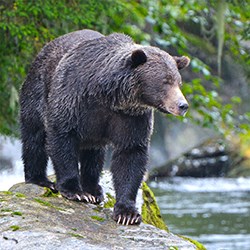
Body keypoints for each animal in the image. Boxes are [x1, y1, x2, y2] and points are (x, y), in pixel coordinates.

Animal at [19, 28, 190, 225]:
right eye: (165, 81)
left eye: (179, 82)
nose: (182, 105)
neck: (108, 95)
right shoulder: (73, 99)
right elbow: (62, 136)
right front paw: (75, 191)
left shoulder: (131, 117)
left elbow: (130, 154)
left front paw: (127, 212)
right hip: (37, 91)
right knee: (34, 136)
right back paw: (40, 179)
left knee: (94, 154)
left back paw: (94, 189)